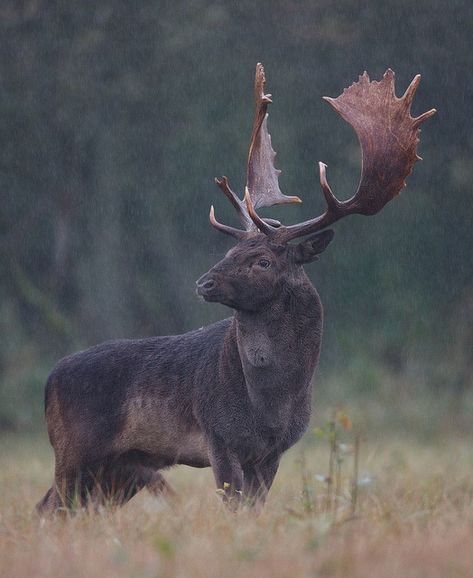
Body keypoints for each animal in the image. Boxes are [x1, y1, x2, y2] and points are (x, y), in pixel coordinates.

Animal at [36, 64, 436, 512]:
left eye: (262, 260)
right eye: (231, 250)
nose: (204, 282)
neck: (271, 405)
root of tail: (48, 381)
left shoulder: (274, 451)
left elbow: (253, 509)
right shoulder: (218, 435)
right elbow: (235, 507)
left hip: (122, 468)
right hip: (74, 450)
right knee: (48, 508)